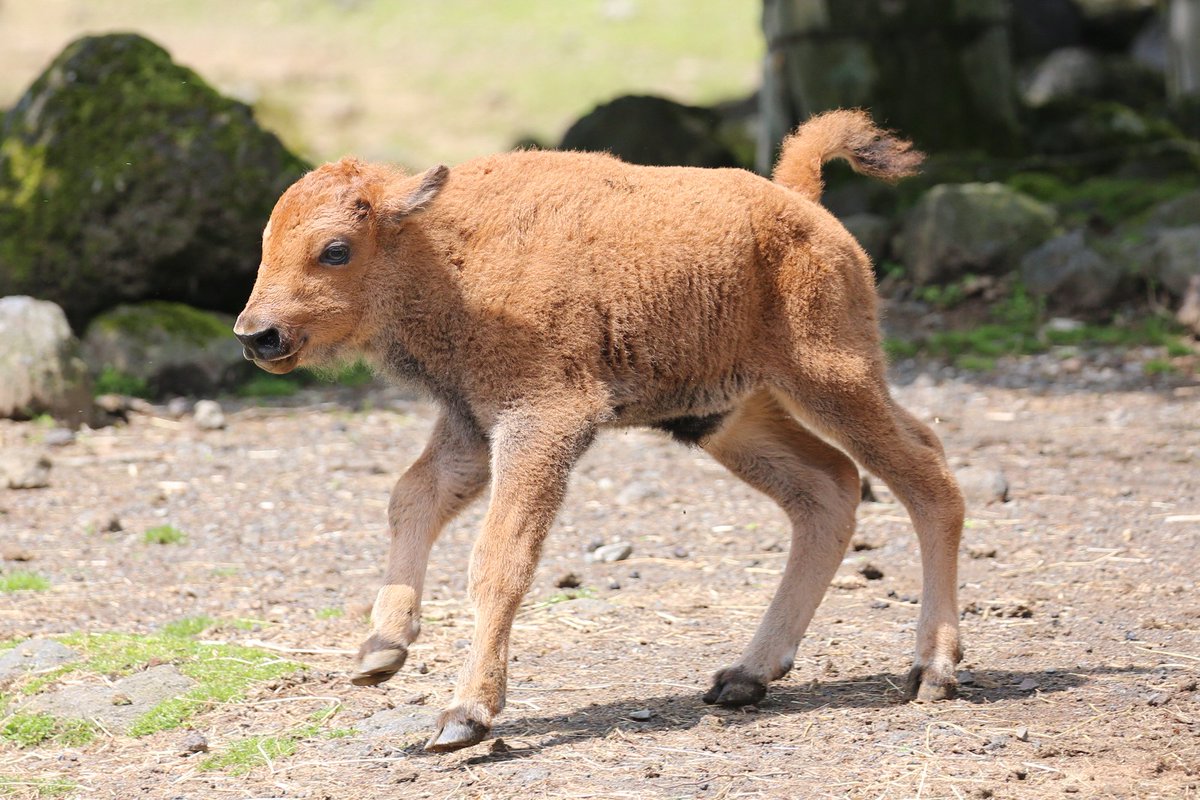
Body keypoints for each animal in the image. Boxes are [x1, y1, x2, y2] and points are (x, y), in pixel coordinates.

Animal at [234, 109, 964, 753]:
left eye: (335, 249)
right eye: (268, 243)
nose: (255, 334)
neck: (444, 249)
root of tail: (797, 200)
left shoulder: (542, 422)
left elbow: (499, 558)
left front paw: (464, 715)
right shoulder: (471, 423)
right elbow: (412, 498)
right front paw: (380, 651)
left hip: (833, 379)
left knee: (927, 476)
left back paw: (932, 670)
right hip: (725, 415)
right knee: (828, 489)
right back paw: (745, 676)